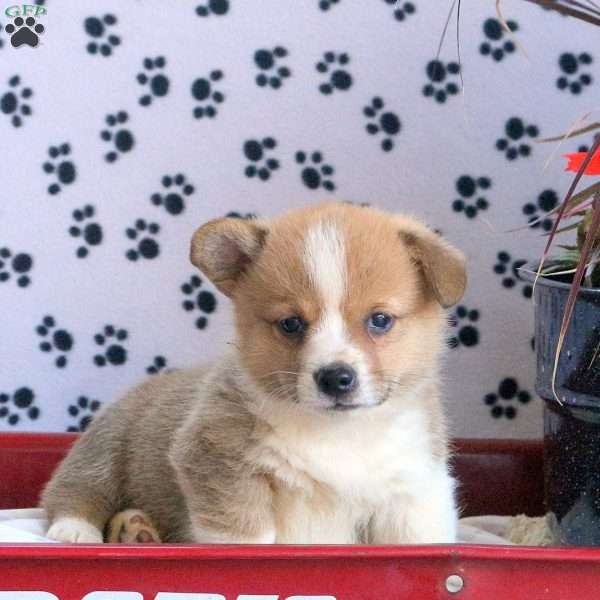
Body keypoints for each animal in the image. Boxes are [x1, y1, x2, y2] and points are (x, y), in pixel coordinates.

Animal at [42, 202, 466, 544]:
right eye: (291, 323)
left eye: (379, 320)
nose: (335, 378)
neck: (336, 433)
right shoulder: (220, 468)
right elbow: (247, 540)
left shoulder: (411, 492)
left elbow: (419, 539)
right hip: (106, 448)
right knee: (73, 491)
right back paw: (76, 531)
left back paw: (135, 530)